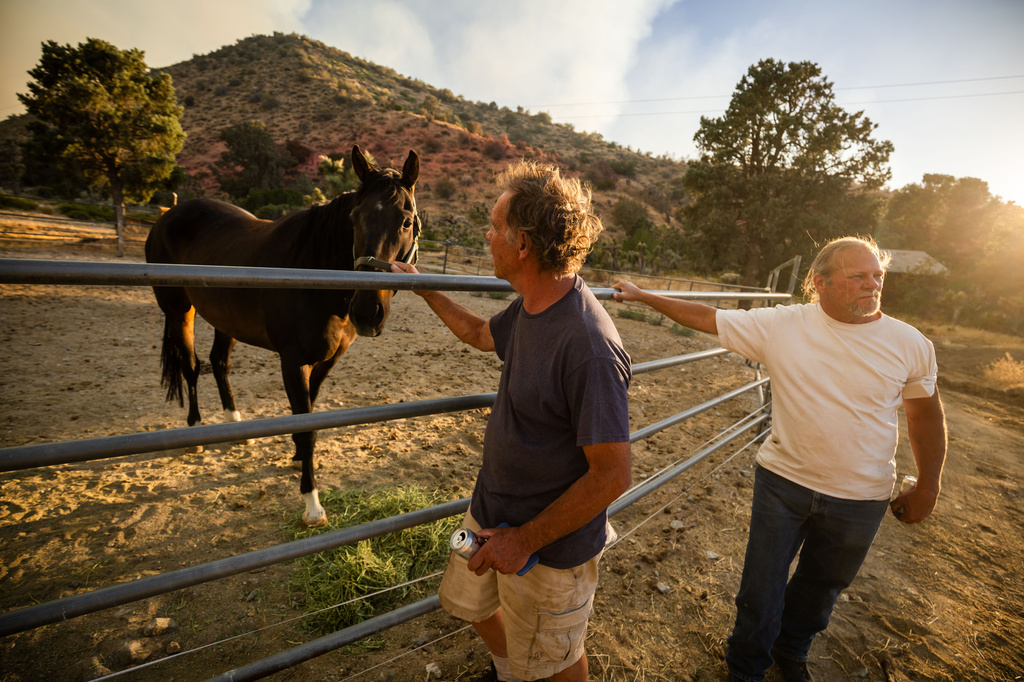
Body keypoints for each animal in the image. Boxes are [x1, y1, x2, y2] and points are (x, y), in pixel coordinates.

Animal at [145, 145, 419, 527]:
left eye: (406, 221)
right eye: (354, 219)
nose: (367, 312)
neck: (316, 276)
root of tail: (167, 216)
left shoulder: (326, 361)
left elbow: (311, 415)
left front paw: (297, 456)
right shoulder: (292, 362)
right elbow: (306, 426)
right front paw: (312, 505)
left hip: (225, 318)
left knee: (219, 362)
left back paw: (234, 424)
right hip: (179, 311)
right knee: (191, 366)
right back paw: (196, 431)